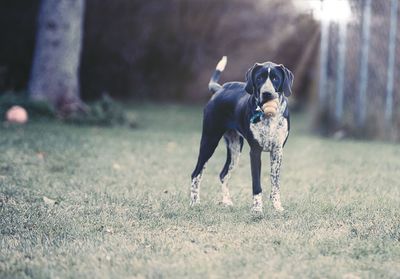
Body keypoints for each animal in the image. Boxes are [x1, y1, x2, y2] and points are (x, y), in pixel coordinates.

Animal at [189, 57, 292, 214]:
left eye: (275, 78)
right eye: (259, 78)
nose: (267, 93)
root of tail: (220, 89)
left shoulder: (277, 152)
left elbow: (275, 184)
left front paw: (277, 207)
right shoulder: (255, 152)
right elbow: (256, 184)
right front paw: (257, 209)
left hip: (235, 149)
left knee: (223, 174)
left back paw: (226, 201)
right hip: (209, 141)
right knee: (196, 173)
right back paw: (194, 203)